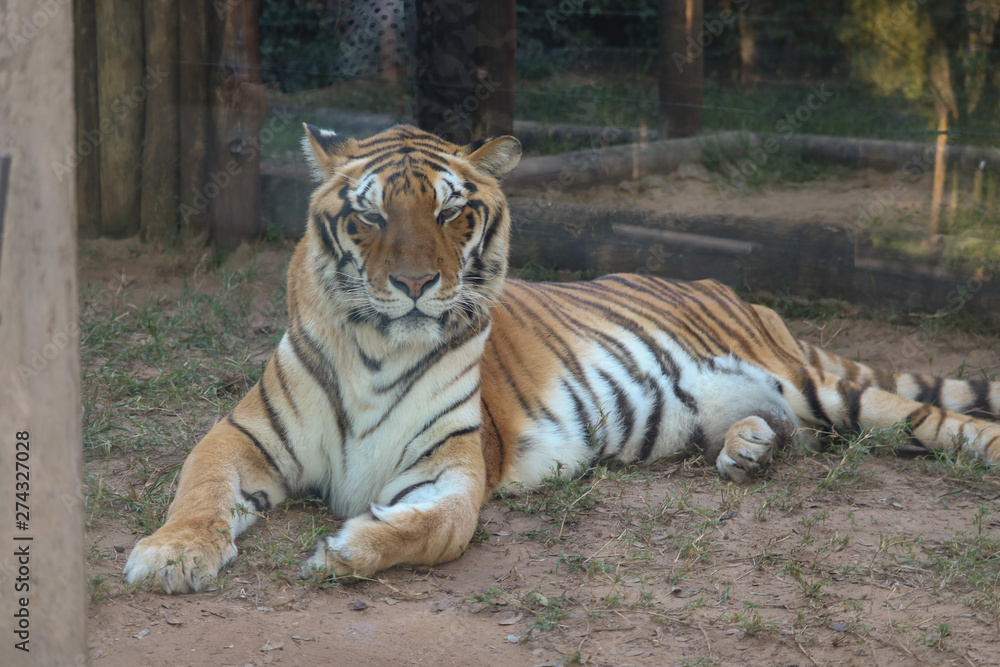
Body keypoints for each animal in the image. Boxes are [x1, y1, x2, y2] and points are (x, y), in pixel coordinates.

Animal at [123, 124, 1000, 593]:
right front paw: (171, 555)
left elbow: (435, 528)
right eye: (368, 216)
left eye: (451, 211)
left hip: (821, 385)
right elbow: (198, 490)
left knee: (929, 416)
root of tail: (731, 287)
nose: (414, 284)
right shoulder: (241, 435)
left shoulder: (453, 466)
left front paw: (345, 548)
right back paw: (747, 450)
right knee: (777, 429)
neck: (377, 345)